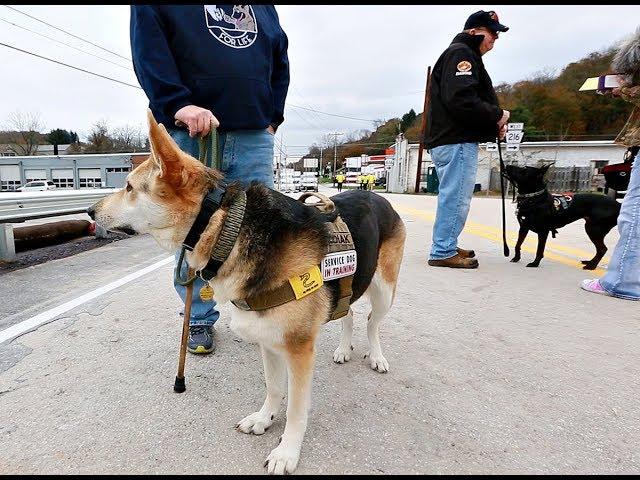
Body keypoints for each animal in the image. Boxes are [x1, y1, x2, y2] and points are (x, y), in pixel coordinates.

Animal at [87, 110, 404, 474]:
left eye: (128, 187)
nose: (89, 212)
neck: (227, 226)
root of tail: (377, 195)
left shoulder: (298, 350)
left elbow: (296, 408)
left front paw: (287, 451)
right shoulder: (268, 340)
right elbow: (274, 387)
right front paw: (265, 419)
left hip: (385, 290)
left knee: (372, 322)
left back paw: (377, 356)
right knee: (348, 311)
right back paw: (343, 348)